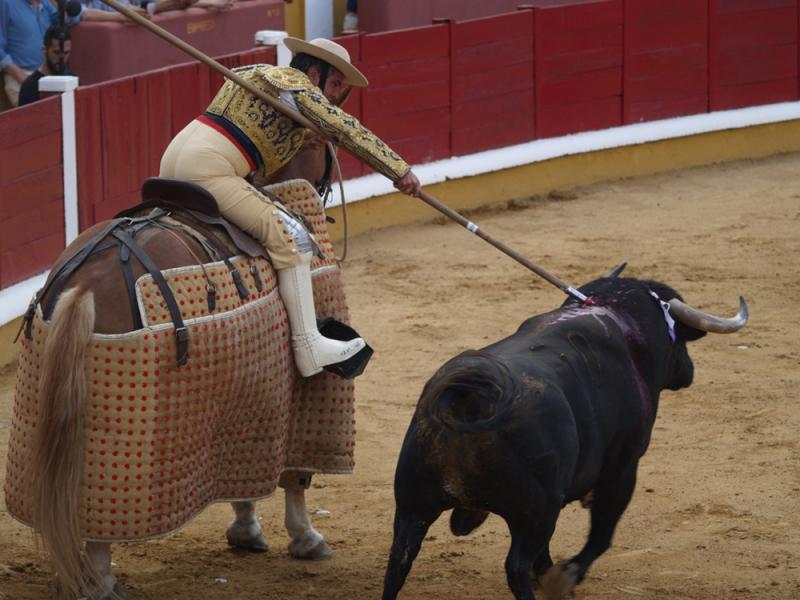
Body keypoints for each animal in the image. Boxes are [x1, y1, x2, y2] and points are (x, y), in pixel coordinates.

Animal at [5, 137, 350, 600]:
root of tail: (85, 284)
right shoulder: (297, 405)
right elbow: (295, 477)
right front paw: (306, 538)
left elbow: (242, 476)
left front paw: (245, 530)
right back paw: (100, 581)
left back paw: (74, 577)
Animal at [384, 276, 748, 600]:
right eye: (678, 338)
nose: (689, 371)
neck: (617, 314)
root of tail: (472, 397)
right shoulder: (623, 467)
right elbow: (602, 532)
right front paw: (566, 576)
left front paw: (549, 573)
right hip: (535, 512)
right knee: (516, 565)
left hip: (413, 505)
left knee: (399, 560)